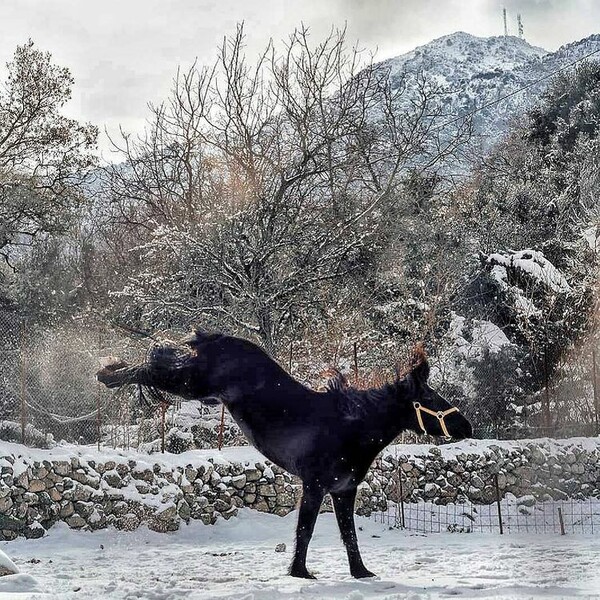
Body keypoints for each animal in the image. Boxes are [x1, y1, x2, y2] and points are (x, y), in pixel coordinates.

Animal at [98, 330, 472, 580]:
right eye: (431, 399)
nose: (467, 426)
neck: (351, 425)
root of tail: (212, 338)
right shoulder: (315, 486)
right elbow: (305, 530)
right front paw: (299, 571)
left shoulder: (343, 491)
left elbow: (349, 534)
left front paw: (361, 572)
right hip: (192, 384)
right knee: (149, 368)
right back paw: (108, 372)